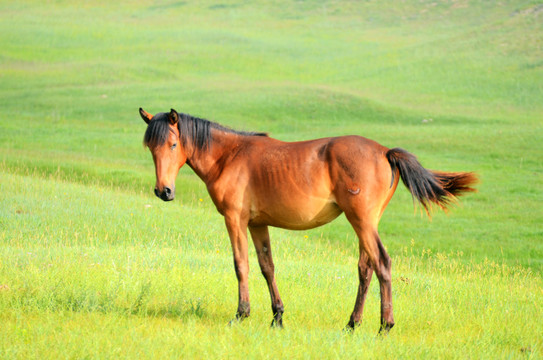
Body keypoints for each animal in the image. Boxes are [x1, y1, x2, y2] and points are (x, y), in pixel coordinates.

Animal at [138, 107, 478, 332]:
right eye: (150, 147)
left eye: (172, 144)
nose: (163, 191)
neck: (229, 156)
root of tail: (384, 152)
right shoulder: (257, 223)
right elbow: (267, 267)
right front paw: (277, 317)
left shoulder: (235, 220)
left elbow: (241, 265)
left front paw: (241, 314)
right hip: (364, 223)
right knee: (365, 268)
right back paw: (352, 324)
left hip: (361, 221)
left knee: (381, 263)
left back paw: (385, 325)